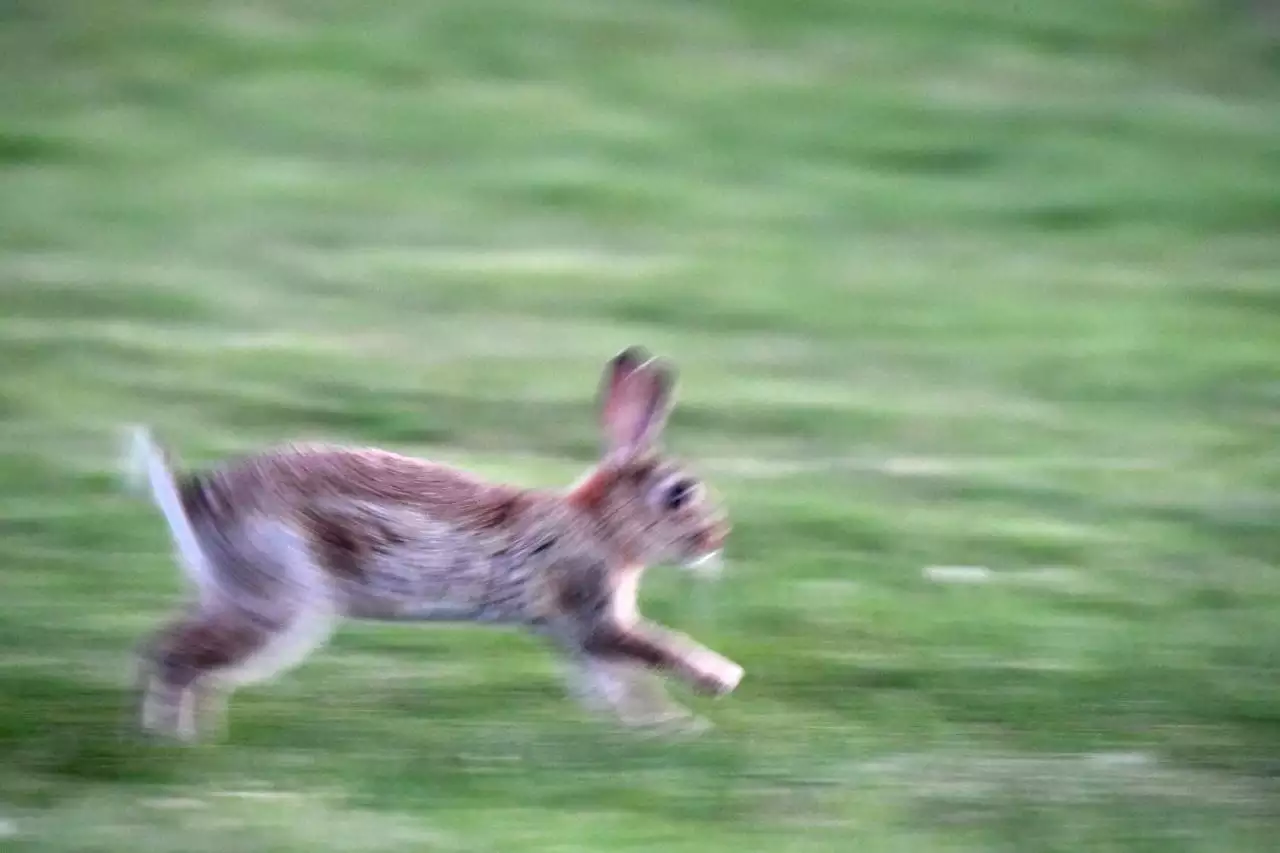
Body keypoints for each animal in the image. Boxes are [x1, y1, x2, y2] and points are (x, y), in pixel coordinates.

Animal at [122, 343, 742, 737]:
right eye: (679, 494)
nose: (716, 538)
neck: (601, 526)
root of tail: (196, 499)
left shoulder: (575, 634)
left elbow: (615, 683)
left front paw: (663, 729)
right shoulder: (590, 609)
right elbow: (653, 649)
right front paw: (717, 687)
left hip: (237, 592)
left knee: (177, 649)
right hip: (279, 601)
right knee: (176, 654)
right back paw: (172, 741)